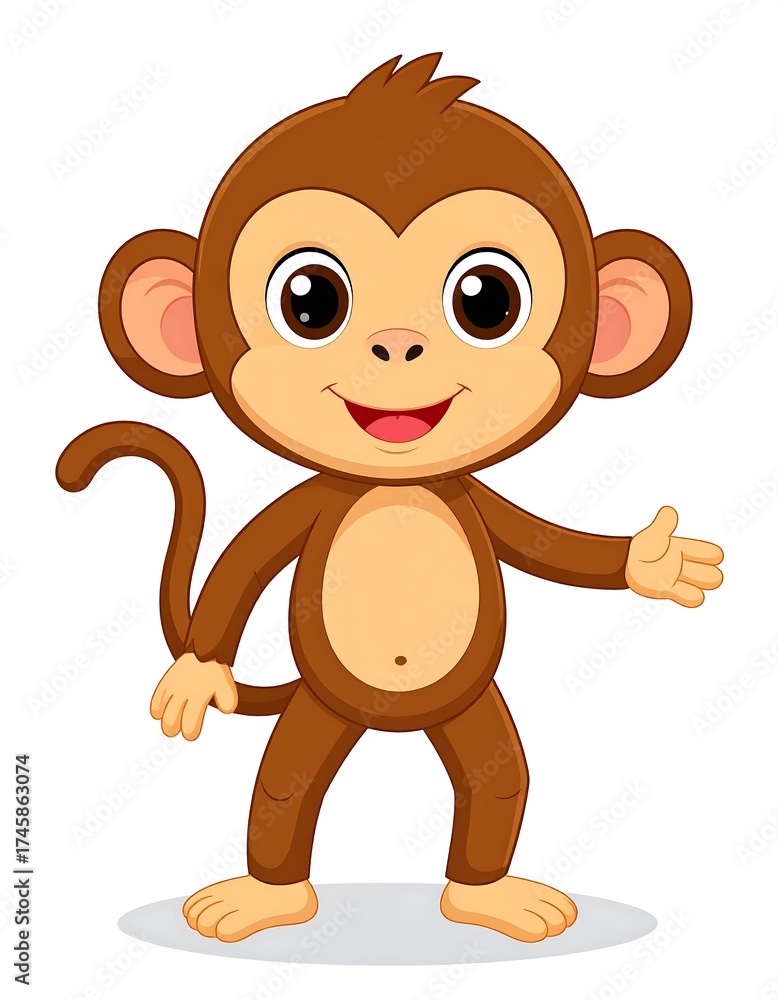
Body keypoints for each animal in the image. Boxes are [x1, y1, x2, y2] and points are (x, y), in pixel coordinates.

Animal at [56, 54, 724, 945]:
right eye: (310, 300)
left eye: (487, 299)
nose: (398, 345)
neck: (397, 484)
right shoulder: (308, 502)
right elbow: (241, 565)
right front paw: (196, 676)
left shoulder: (476, 498)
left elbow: (557, 549)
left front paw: (658, 560)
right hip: (318, 708)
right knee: (282, 784)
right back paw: (266, 896)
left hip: (472, 711)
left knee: (499, 782)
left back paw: (488, 896)